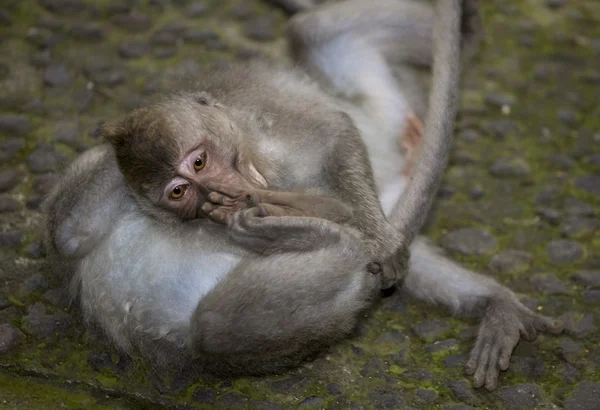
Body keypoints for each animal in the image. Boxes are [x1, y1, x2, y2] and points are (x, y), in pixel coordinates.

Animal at [43, 0, 564, 390]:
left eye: (199, 162)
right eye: (179, 191)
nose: (219, 193)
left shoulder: (259, 109)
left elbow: (333, 134)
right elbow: (67, 236)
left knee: (311, 36)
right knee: (216, 329)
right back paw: (489, 301)